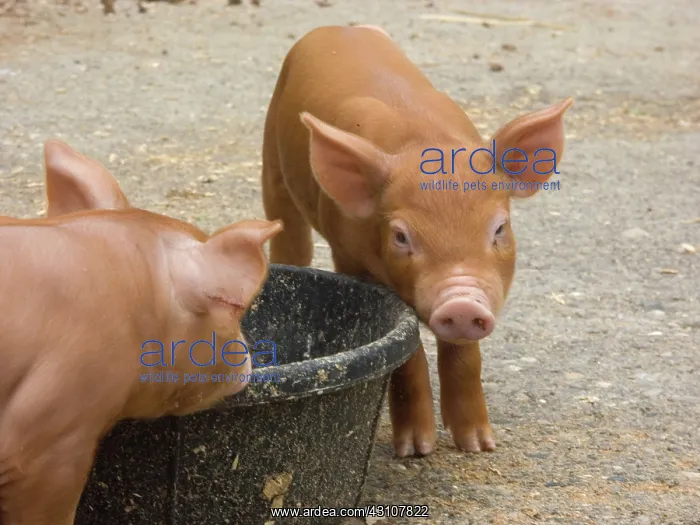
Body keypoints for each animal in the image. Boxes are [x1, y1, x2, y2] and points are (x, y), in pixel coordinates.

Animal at [261, 25, 573, 457]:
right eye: (401, 236)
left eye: (499, 228)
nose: (461, 303)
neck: (420, 139)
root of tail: (337, 28)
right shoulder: (351, 259)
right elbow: (409, 354)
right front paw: (416, 449)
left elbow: (464, 356)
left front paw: (477, 445)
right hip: (272, 163)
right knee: (289, 232)